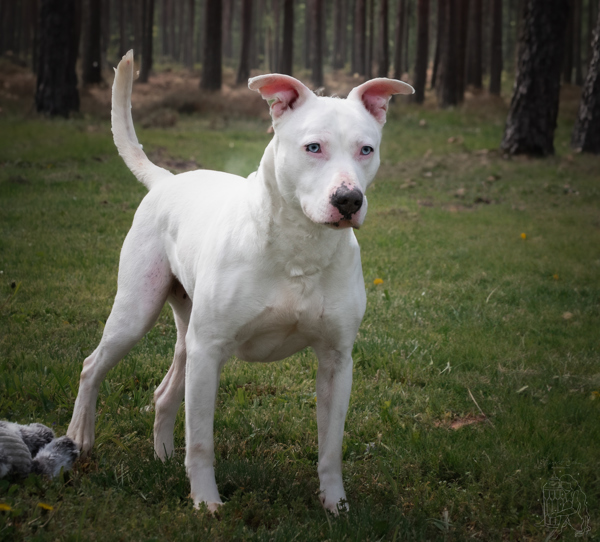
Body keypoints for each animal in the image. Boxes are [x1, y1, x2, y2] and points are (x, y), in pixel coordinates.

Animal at [65, 53, 412, 516]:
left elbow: (331, 447)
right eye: (313, 148)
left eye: (366, 149)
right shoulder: (209, 351)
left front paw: (335, 505)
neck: (299, 246)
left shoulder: (337, 362)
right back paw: (80, 438)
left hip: (186, 337)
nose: (348, 200)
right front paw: (206, 502)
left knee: (164, 392)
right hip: (137, 314)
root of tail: (167, 180)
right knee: (92, 366)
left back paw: (163, 457)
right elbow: (201, 440)